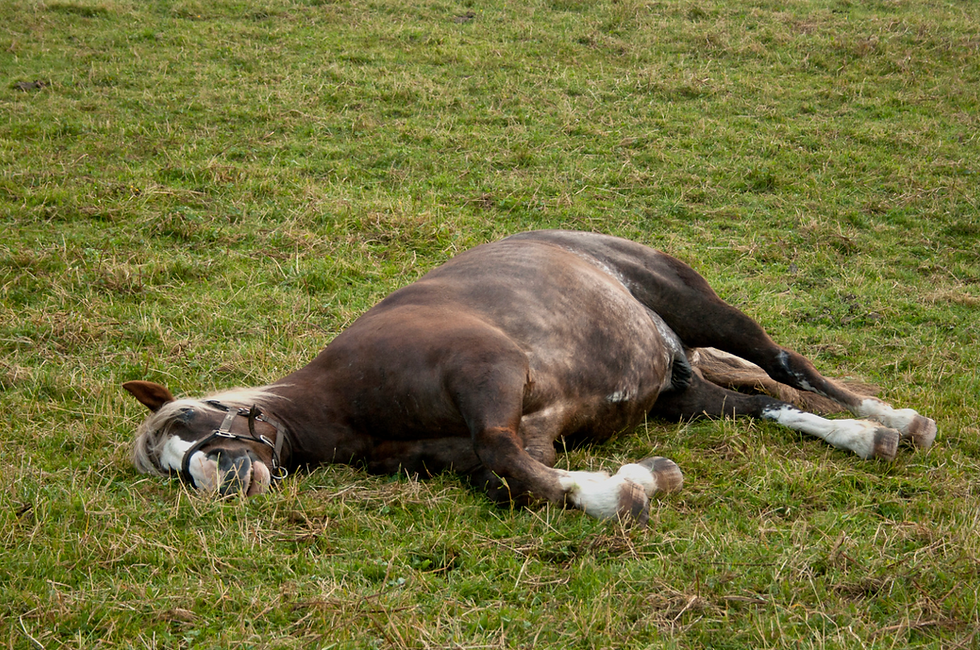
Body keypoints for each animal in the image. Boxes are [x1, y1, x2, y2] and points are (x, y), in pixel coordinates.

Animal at [124, 230, 936, 525]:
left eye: (193, 417)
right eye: (166, 467)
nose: (216, 481)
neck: (349, 400)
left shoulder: (492, 374)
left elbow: (502, 455)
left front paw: (624, 492)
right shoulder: (524, 438)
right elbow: (513, 479)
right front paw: (636, 479)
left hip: (705, 313)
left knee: (787, 364)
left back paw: (894, 420)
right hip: (682, 393)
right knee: (764, 403)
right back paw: (860, 436)